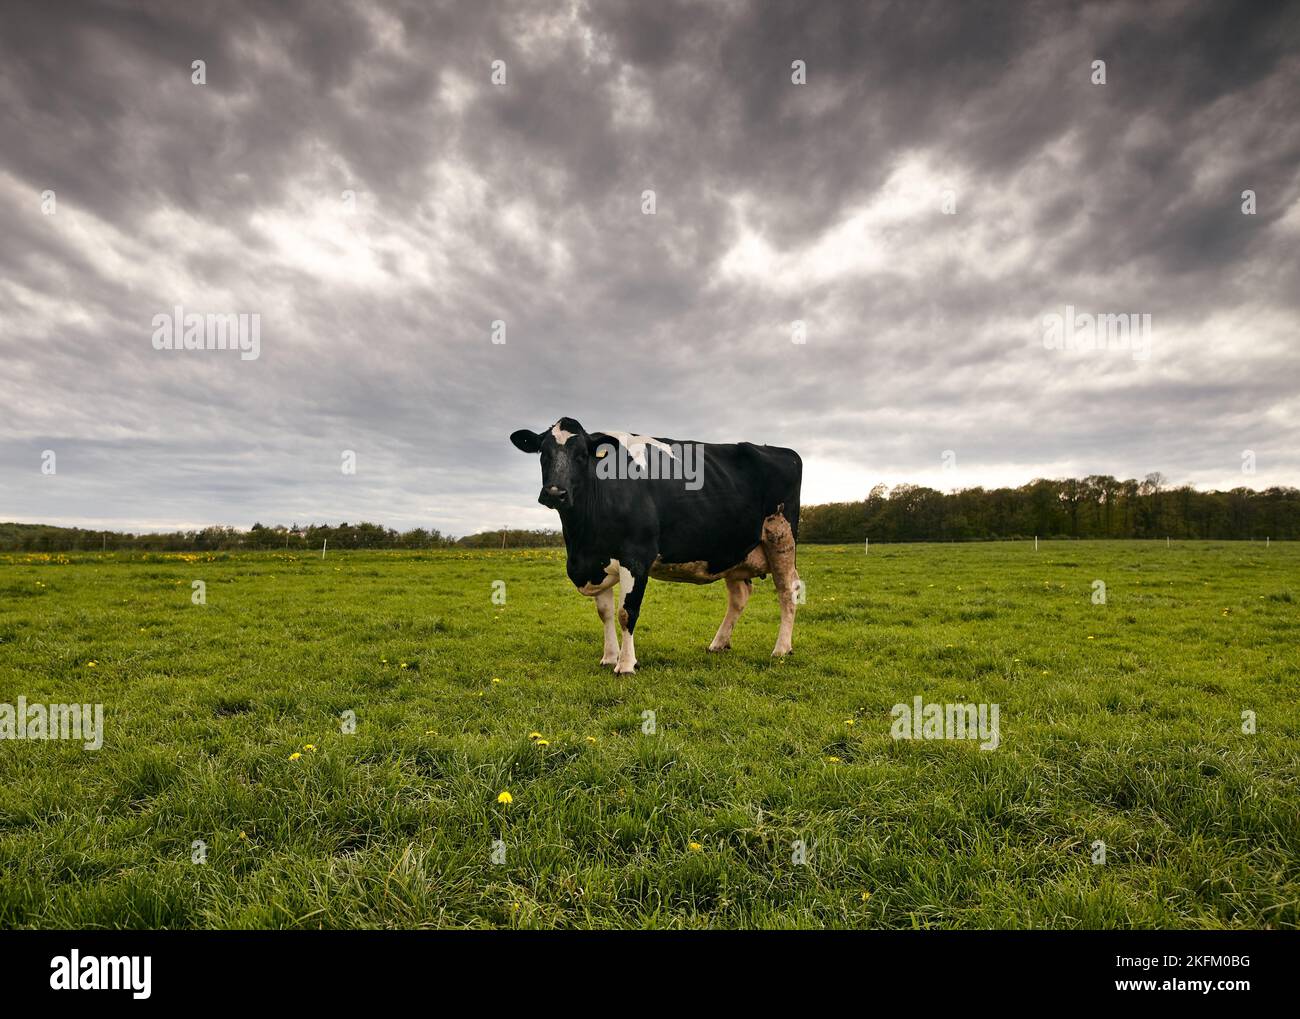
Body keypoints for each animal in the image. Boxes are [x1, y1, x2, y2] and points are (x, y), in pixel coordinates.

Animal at [509, 418, 802, 673]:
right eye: (543, 453)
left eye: (582, 455)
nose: (555, 492)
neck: (583, 540)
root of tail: (782, 450)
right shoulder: (597, 560)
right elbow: (605, 612)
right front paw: (609, 657)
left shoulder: (636, 557)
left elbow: (626, 612)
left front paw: (626, 665)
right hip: (734, 552)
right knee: (739, 597)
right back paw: (718, 644)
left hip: (781, 537)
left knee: (787, 591)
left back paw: (781, 649)